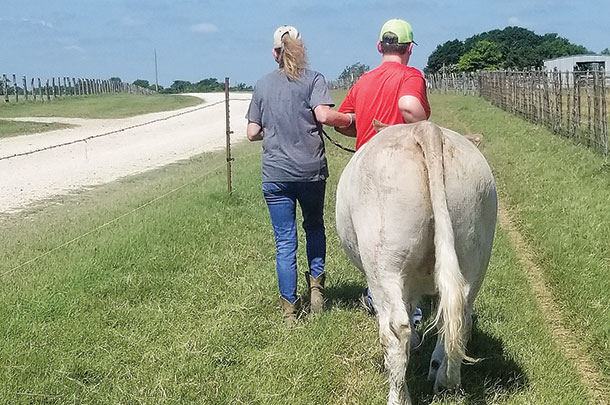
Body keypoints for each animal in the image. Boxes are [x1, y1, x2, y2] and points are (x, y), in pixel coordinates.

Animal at [334, 120, 496, 404]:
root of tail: (427, 129)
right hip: (475, 249)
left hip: (384, 262)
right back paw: (446, 381)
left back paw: (398, 396)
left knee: (396, 329)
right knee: (458, 319)